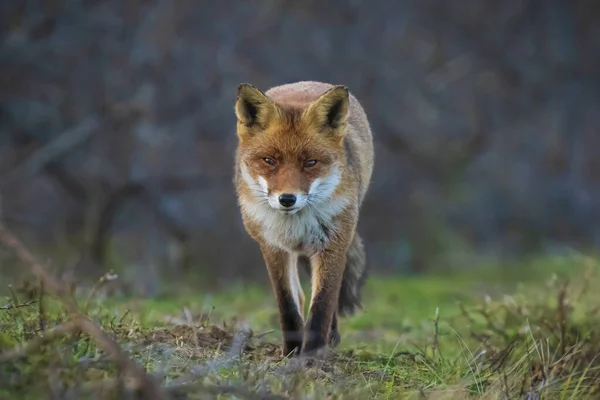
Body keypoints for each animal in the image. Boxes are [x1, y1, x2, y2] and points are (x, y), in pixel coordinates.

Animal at [234, 80, 376, 356]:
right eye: (269, 160)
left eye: (310, 163)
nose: (287, 199)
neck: (294, 225)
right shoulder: (273, 247)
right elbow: (288, 305)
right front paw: (291, 351)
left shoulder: (332, 244)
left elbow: (322, 304)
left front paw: (311, 356)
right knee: (300, 296)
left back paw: (331, 338)